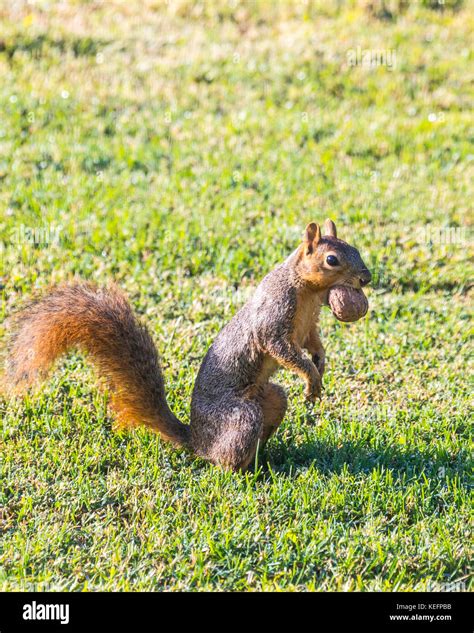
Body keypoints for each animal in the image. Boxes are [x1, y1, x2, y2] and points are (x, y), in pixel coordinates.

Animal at [0, 218, 370, 470]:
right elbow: (282, 348)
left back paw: (266, 460)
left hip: (271, 398)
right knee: (224, 458)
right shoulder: (275, 318)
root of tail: (196, 441)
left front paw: (320, 363)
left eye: (355, 248)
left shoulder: (308, 324)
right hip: (239, 416)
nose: (366, 278)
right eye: (332, 259)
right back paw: (248, 472)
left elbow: (312, 341)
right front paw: (311, 377)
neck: (307, 290)